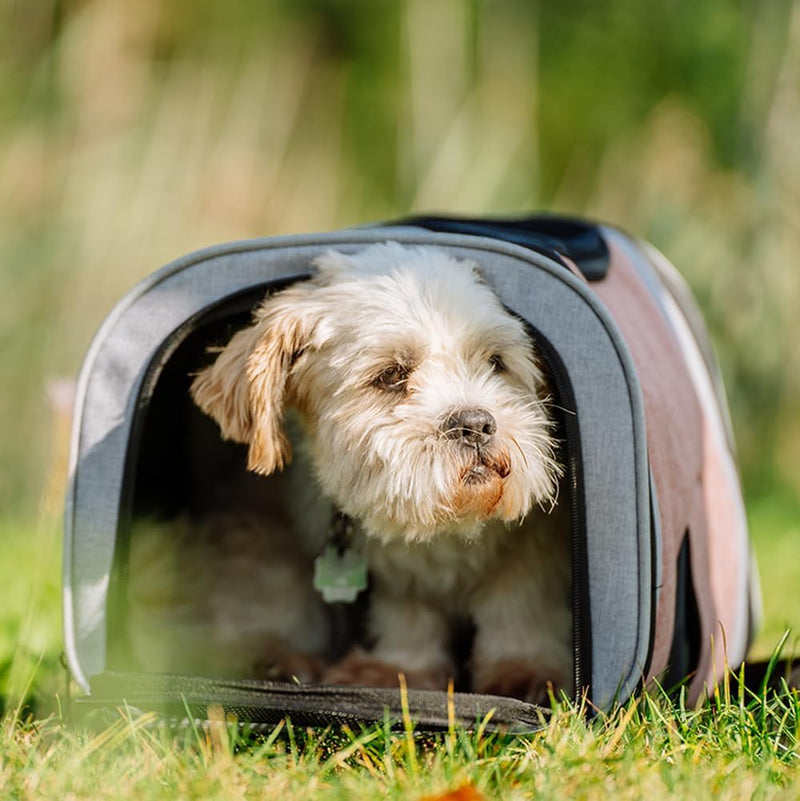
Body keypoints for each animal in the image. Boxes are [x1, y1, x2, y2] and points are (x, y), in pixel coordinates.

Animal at [128, 242, 572, 700]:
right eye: (391, 374)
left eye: (495, 362)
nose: (475, 424)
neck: (449, 528)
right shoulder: (395, 576)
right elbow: (407, 610)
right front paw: (400, 670)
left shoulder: (535, 549)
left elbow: (519, 600)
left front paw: (522, 669)